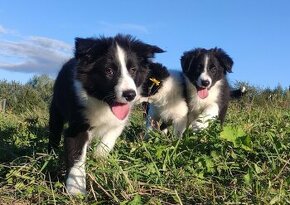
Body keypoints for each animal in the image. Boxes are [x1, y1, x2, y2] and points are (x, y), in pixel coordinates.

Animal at [48, 33, 164, 194]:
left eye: (133, 70)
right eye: (109, 71)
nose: (130, 95)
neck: (103, 104)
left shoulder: (119, 121)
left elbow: (108, 140)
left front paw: (99, 158)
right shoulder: (78, 125)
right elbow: (76, 155)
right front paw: (76, 190)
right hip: (56, 108)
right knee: (54, 131)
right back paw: (49, 153)